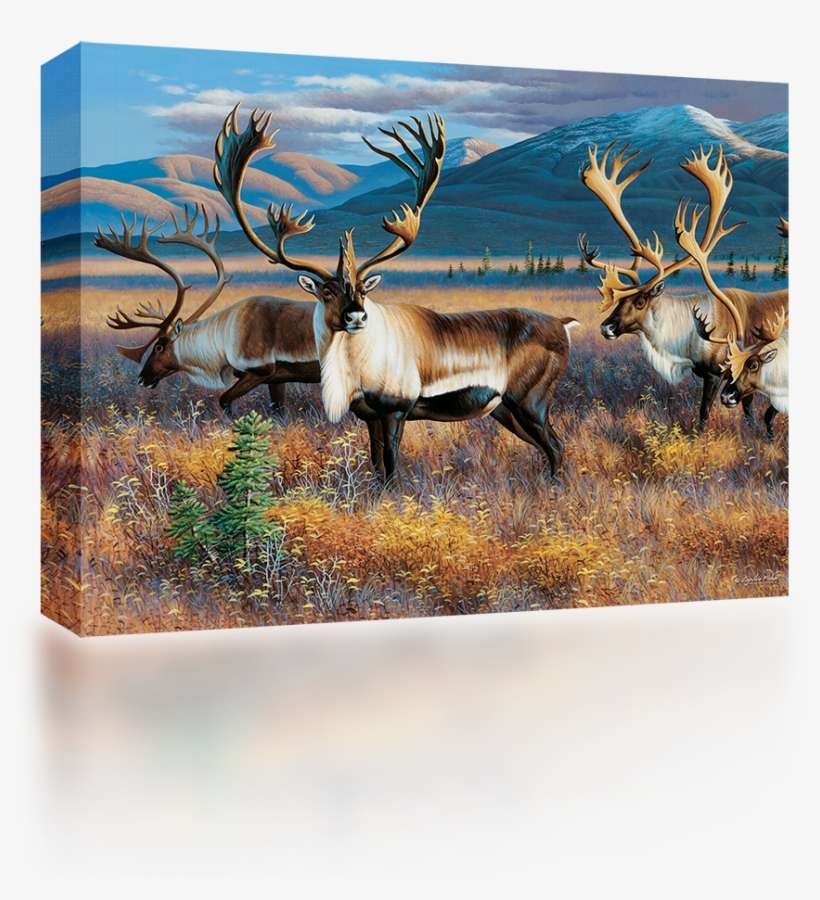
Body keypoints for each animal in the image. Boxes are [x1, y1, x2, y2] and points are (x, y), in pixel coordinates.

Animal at [96, 204, 320, 413]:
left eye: (159, 347)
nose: (142, 379)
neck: (221, 341)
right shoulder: (276, 379)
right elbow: (278, 409)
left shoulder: (261, 371)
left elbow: (224, 400)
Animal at [214, 106, 579, 482]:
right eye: (327, 291)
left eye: (363, 289)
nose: (356, 315)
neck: (356, 368)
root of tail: (563, 324)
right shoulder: (369, 415)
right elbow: (376, 465)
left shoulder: (396, 409)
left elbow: (389, 466)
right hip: (504, 408)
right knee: (550, 446)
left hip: (530, 400)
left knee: (556, 445)